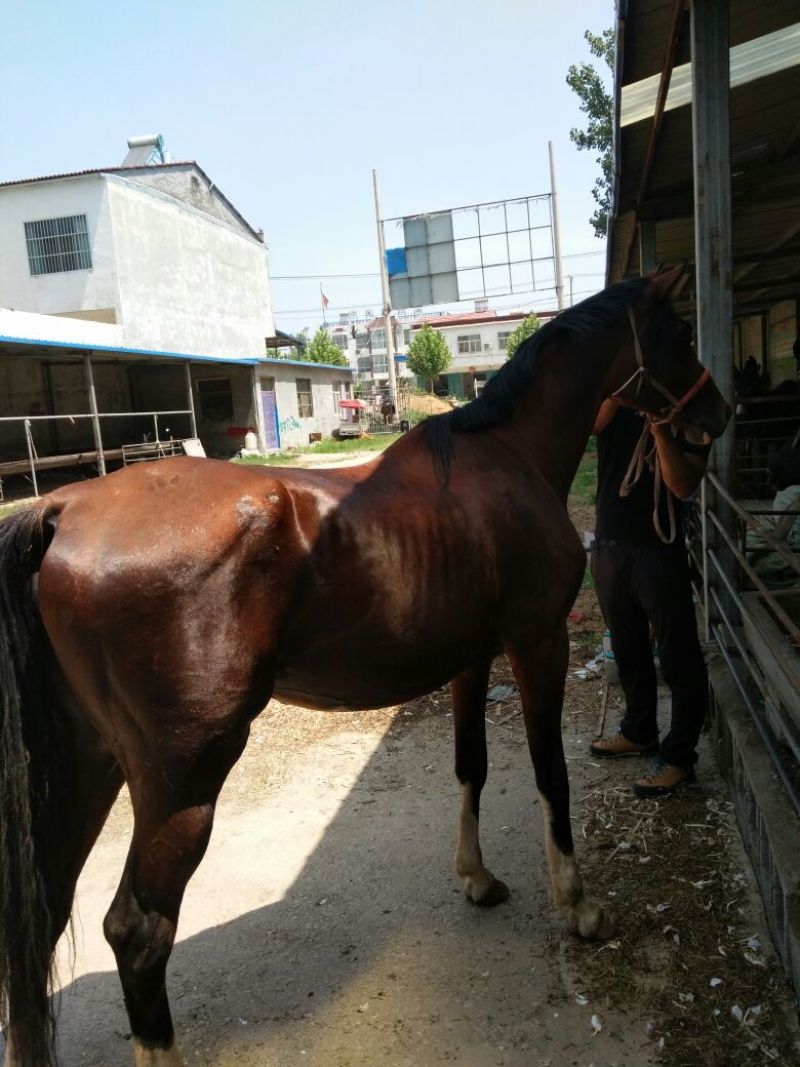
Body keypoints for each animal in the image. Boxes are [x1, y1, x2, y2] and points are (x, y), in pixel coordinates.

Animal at [0, 266, 729, 1067]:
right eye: (679, 332)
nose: (719, 415)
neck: (509, 456)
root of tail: (61, 509)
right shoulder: (538, 644)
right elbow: (550, 773)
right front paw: (579, 904)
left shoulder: (472, 660)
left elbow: (471, 765)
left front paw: (477, 877)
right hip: (180, 781)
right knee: (138, 931)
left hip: (85, 766)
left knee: (40, 924)